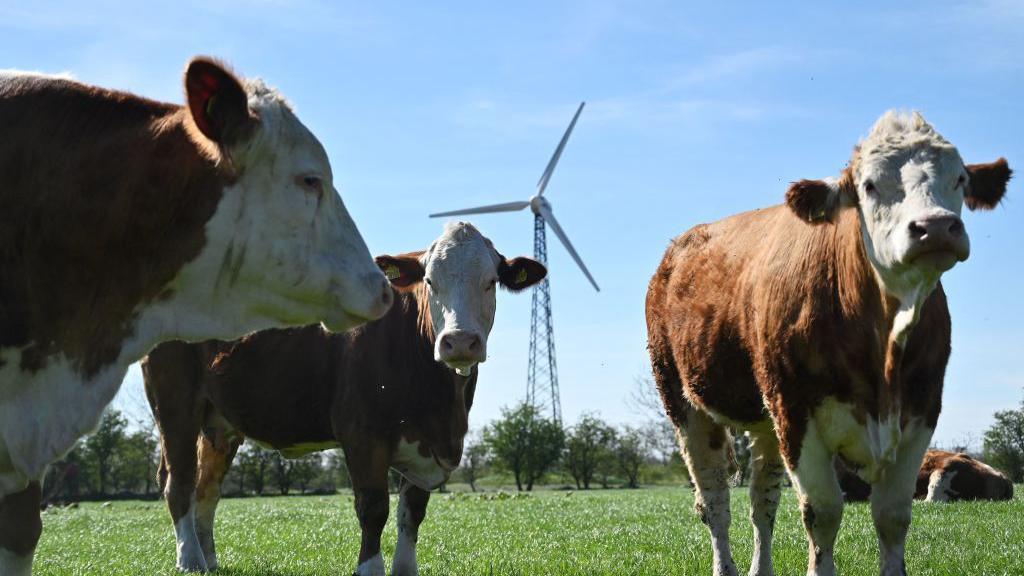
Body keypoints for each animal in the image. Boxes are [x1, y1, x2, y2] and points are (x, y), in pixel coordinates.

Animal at [142, 218, 552, 569]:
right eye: (429, 281)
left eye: (490, 281)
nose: (460, 341)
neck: (441, 404)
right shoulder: (362, 432)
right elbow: (373, 508)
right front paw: (369, 569)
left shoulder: (424, 444)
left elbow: (412, 512)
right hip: (175, 405)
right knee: (178, 482)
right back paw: (190, 560)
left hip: (220, 423)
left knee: (206, 488)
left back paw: (208, 559)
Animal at [643, 108, 1011, 573]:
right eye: (868, 185)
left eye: (960, 178)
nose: (936, 227)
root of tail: (676, 250)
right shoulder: (798, 416)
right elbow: (822, 512)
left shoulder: (921, 414)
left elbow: (893, 515)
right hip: (685, 403)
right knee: (714, 501)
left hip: (766, 418)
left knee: (762, 502)